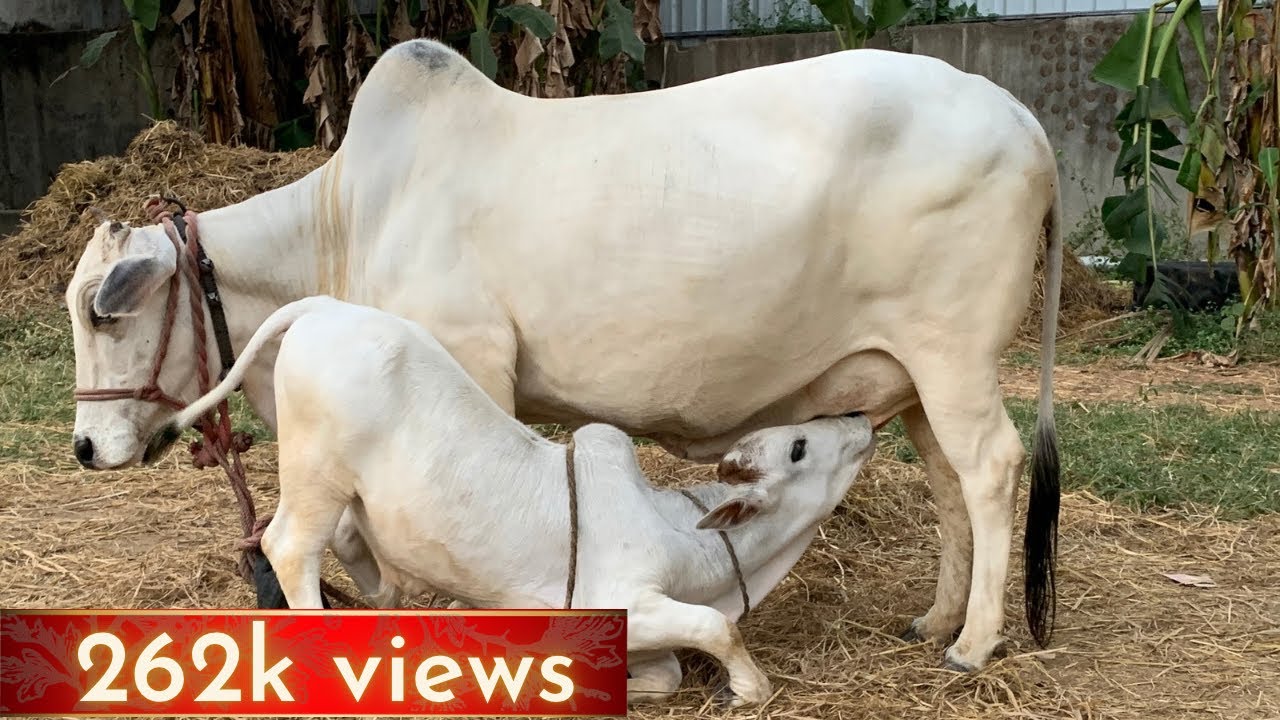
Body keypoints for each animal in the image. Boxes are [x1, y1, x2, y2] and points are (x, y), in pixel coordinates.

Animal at [143, 295, 879, 707]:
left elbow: (670, 671)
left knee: (355, 553)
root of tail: (323, 308)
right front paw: (748, 688)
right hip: (315, 475)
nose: (861, 420)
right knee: (288, 547)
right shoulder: (620, 604)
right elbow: (714, 629)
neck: (682, 532)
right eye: (797, 449)